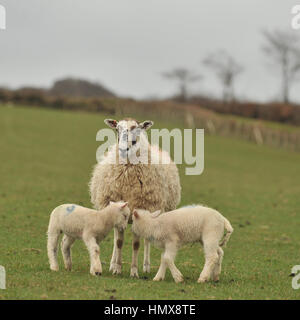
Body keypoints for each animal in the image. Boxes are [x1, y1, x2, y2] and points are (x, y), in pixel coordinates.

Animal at [88, 117, 180, 278]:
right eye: (117, 129)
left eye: (137, 129)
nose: (123, 149)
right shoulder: (119, 209)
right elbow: (119, 242)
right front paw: (117, 268)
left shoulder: (140, 208)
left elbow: (136, 244)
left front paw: (134, 271)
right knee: (115, 238)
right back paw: (112, 264)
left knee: (147, 239)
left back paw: (146, 266)